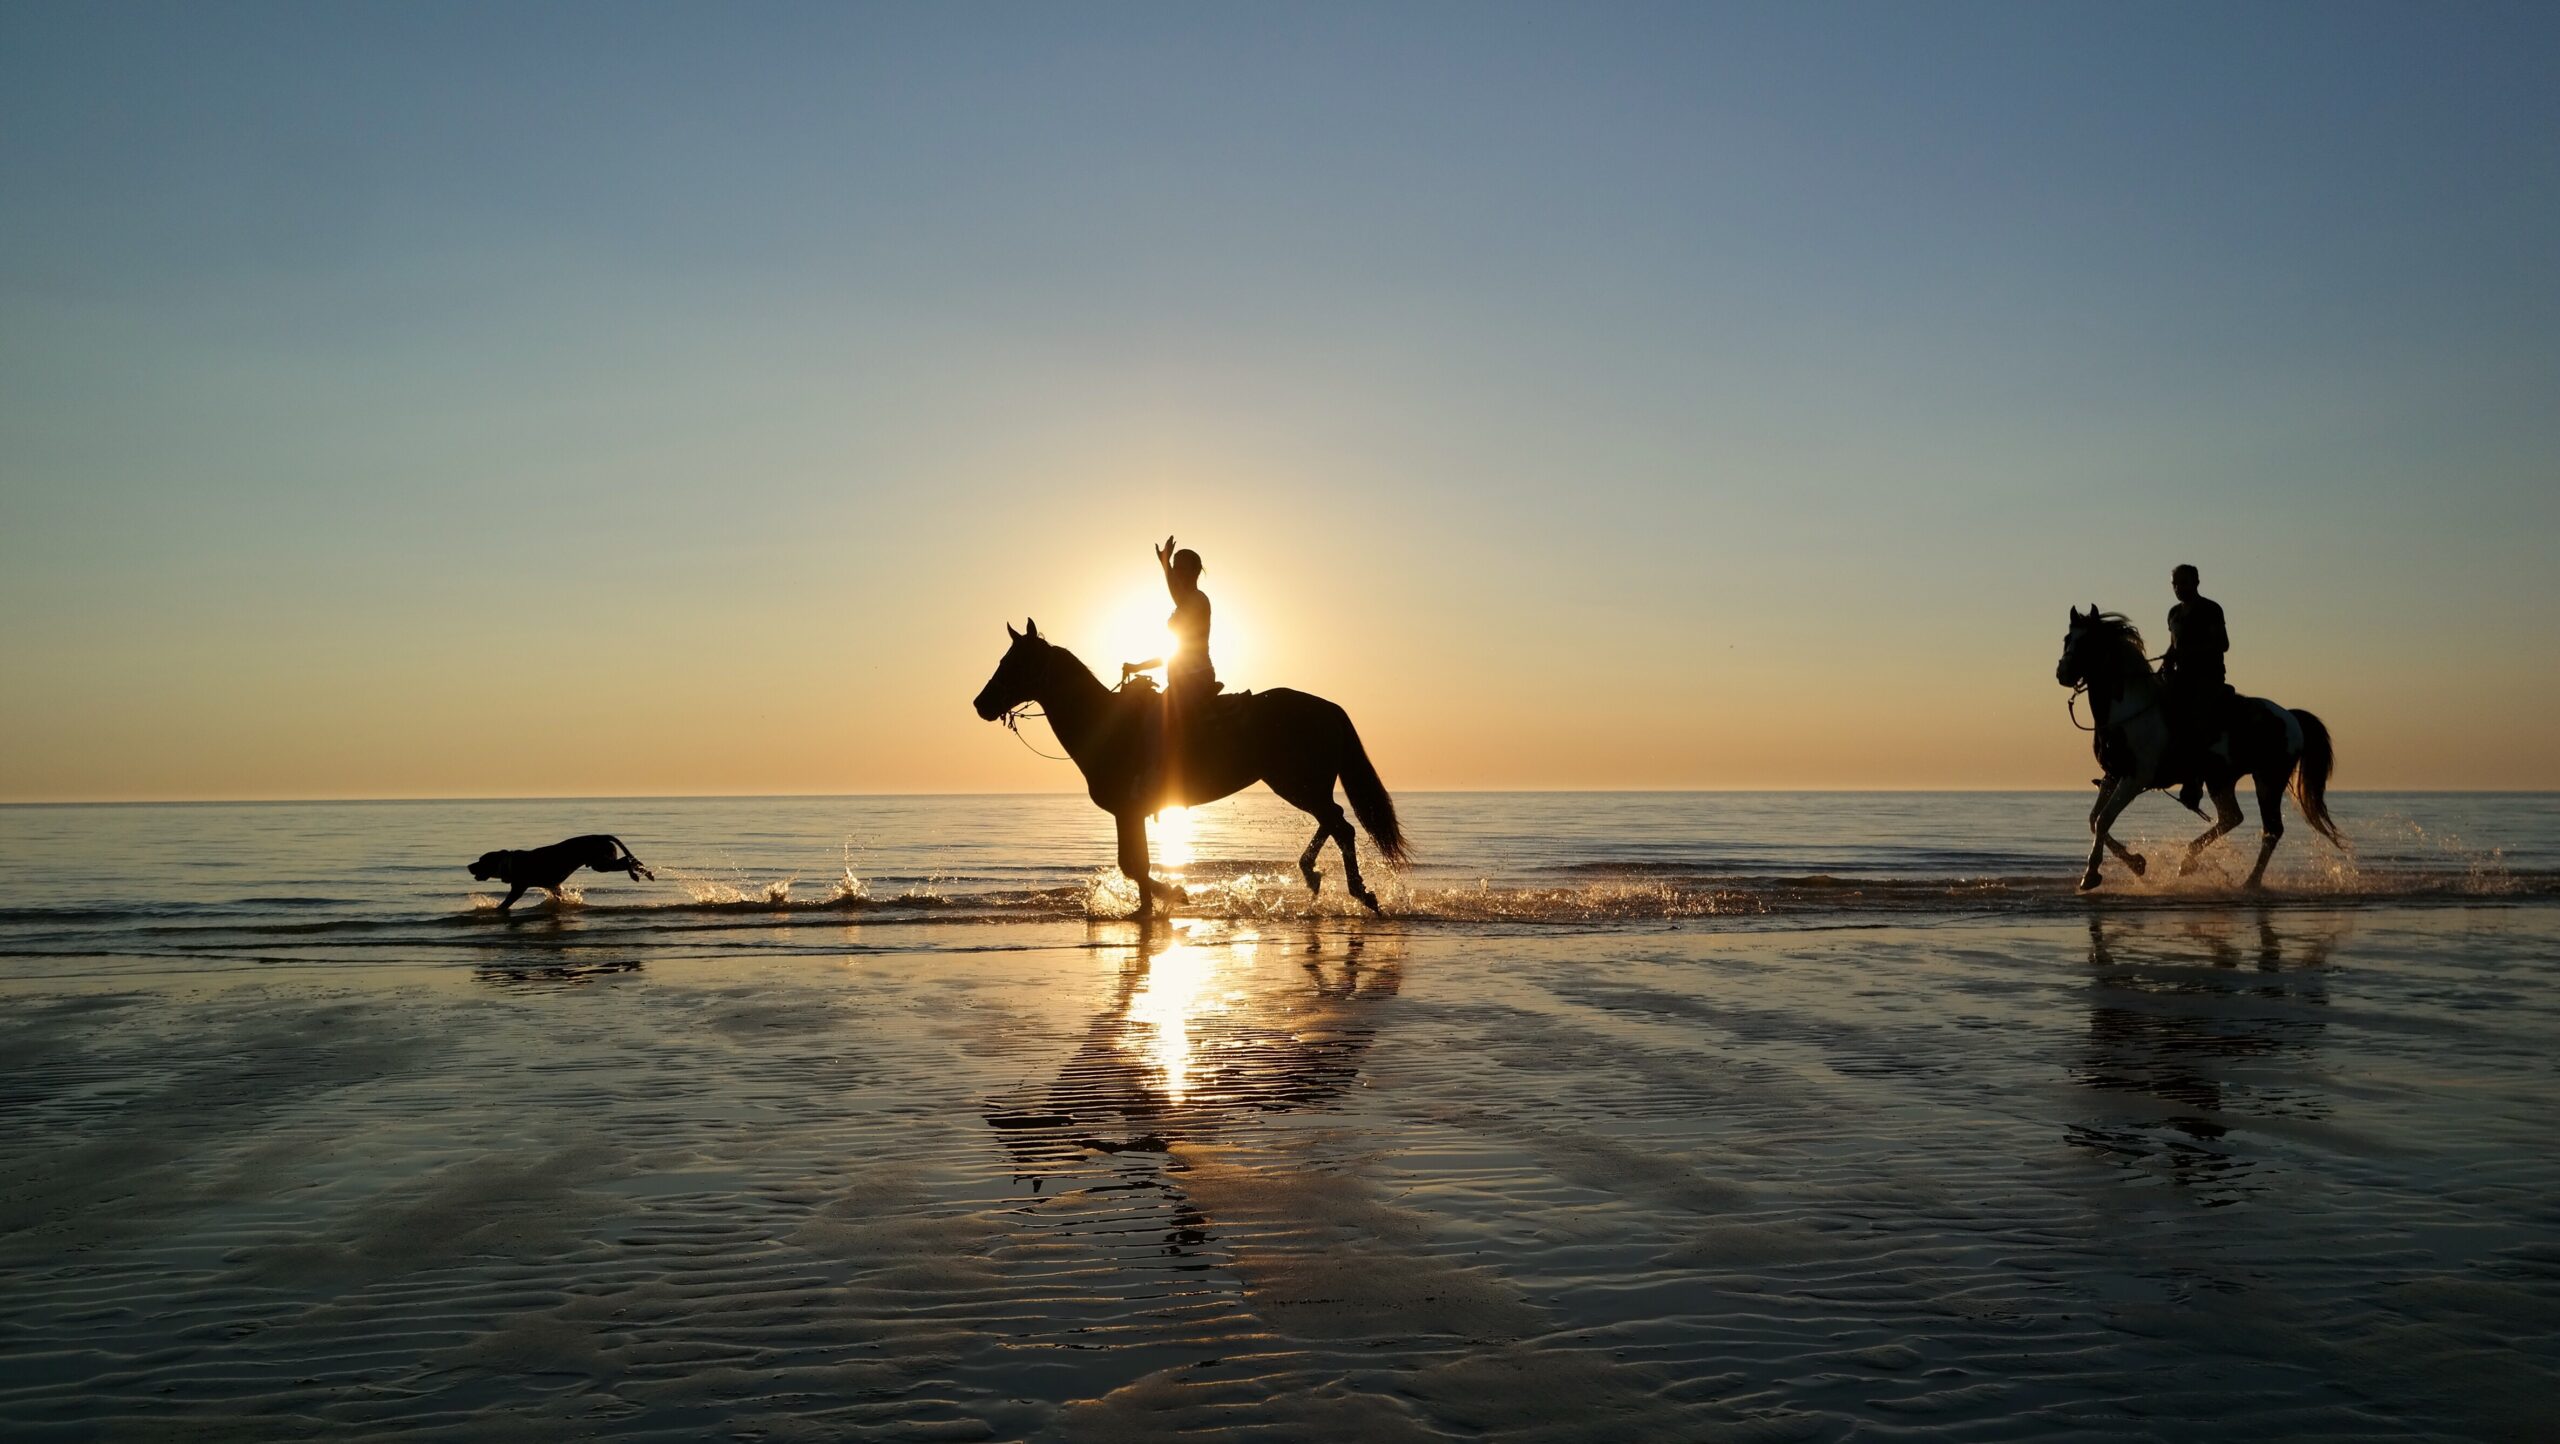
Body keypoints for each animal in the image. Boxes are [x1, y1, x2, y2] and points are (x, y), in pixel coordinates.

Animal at [971, 619, 1409, 918]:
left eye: (1015, 663)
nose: (980, 704)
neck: (1105, 724)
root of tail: (1328, 707)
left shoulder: (1127, 810)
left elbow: (1133, 865)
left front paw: (1171, 895)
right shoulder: (1130, 813)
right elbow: (1136, 863)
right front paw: (1150, 907)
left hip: (1296, 782)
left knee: (1341, 825)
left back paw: (1359, 892)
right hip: (1302, 784)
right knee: (1333, 821)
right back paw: (1314, 874)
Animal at [2055, 605, 2344, 891]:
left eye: (2089, 641)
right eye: (2067, 639)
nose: (2062, 673)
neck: (2127, 711)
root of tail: (2289, 715)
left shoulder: (2135, 779)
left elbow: (2104, 819)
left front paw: (2091, 874)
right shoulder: (2112, 774)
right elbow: (2094, 820)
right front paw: (2136, 863)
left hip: (2268, 780)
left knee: (2271, 829)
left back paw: (2250, 882)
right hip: (2221, 779)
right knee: (2231, 817)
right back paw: (2188, 861)